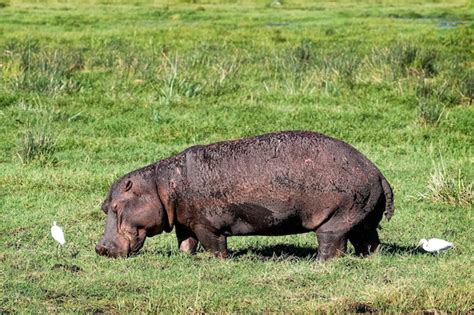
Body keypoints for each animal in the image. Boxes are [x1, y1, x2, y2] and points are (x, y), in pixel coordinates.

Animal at [95, 131, 392, 262]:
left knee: (333, 244)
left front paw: (218, 263)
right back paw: (371, 260)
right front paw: (186, 259)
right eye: (104, 206)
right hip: (362, 218)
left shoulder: (206, 225)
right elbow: (186, 243)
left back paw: (319, 263)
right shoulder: (185, 221)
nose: (100, 248)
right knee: (369, 241)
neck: (161, 186)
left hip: (336, 219)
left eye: (117, 207)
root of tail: (378, 172)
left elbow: (214, 246)